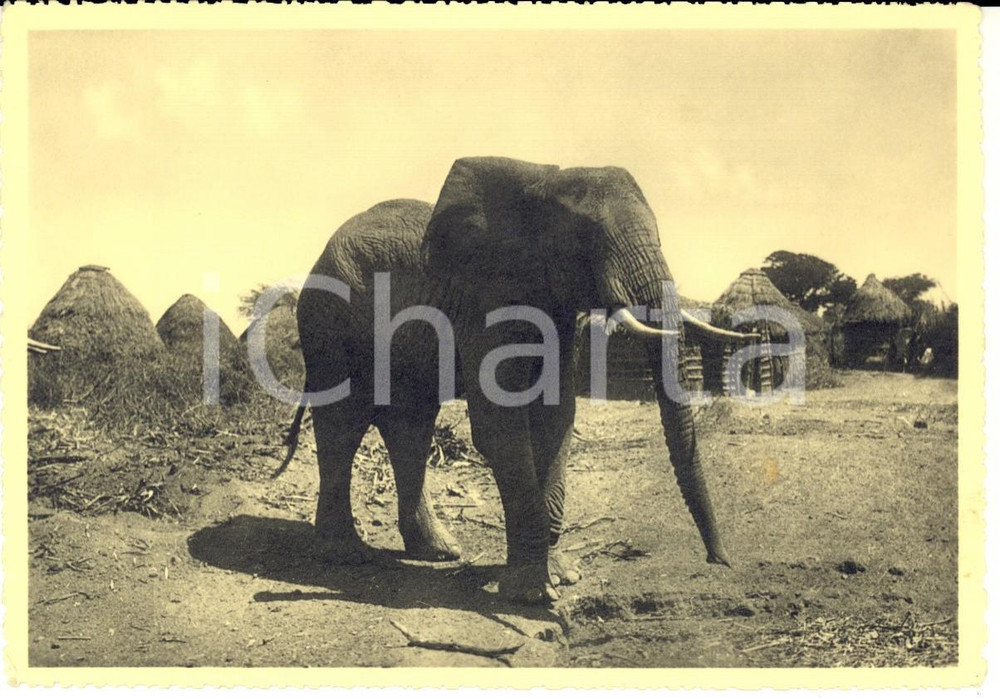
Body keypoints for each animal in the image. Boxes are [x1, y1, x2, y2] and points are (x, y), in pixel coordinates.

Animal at [278, 157, 749, 605]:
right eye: (588, 239)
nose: (720, 561)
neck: (542, 183)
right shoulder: (483, 301)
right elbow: (500, 428)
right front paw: (532, 595)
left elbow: (556, 419)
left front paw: (561, 575)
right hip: (329, 320)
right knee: (343, 423)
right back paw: (345, 554)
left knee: (410, 426)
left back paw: (439, 551)